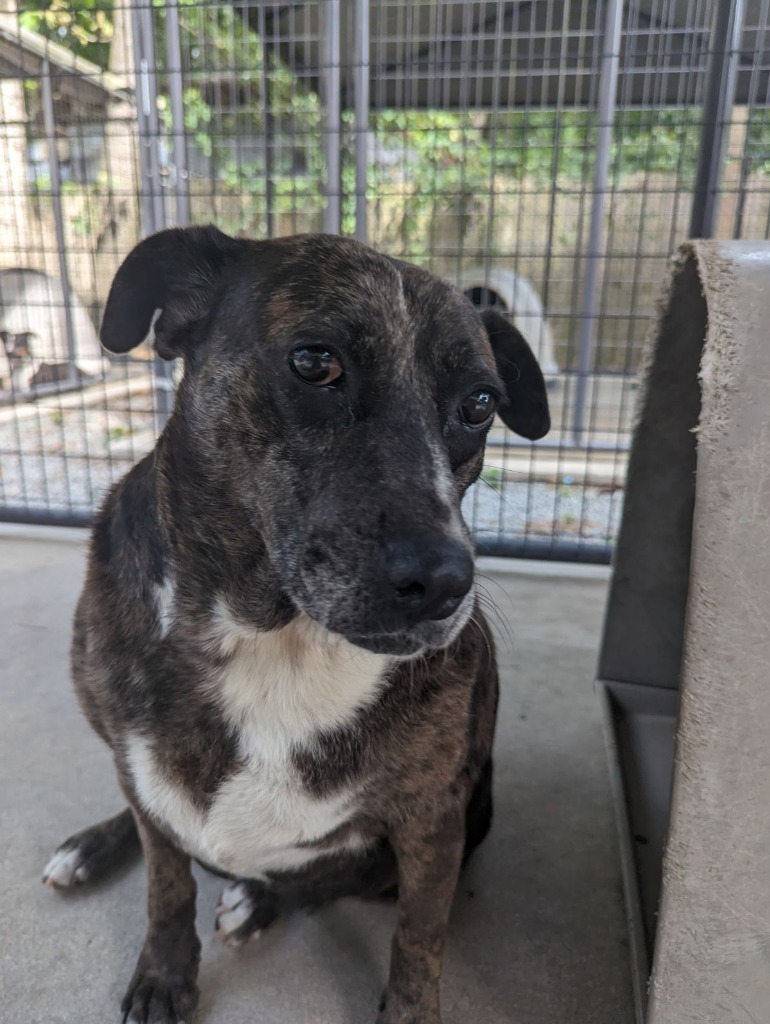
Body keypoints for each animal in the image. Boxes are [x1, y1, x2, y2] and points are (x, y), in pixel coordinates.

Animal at [41, 226, 548, 1024]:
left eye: (480, 402)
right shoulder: (141, 766)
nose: (446, 583)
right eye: (315, 362)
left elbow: (418, 943)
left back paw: (258, 897)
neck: (273, 636)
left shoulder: (434, 822)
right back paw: (92, 848)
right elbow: (166, 883)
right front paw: (163, 976)